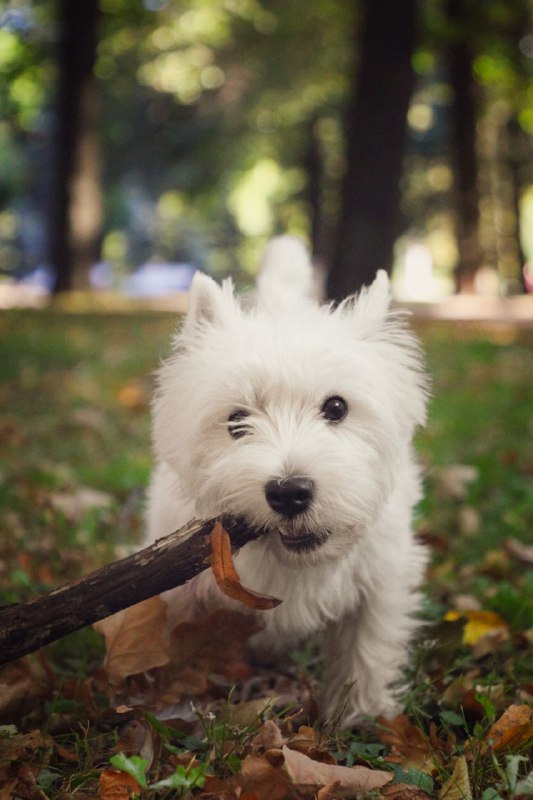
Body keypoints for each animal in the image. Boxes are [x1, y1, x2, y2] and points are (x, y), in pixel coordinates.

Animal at [144, 236, 428, 724]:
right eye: (236, 421)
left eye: (336, 407)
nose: (290, 492)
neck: (293, 565)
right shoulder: (181, 595)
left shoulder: (380, 582)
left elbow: (366, 653)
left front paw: (361, 719)